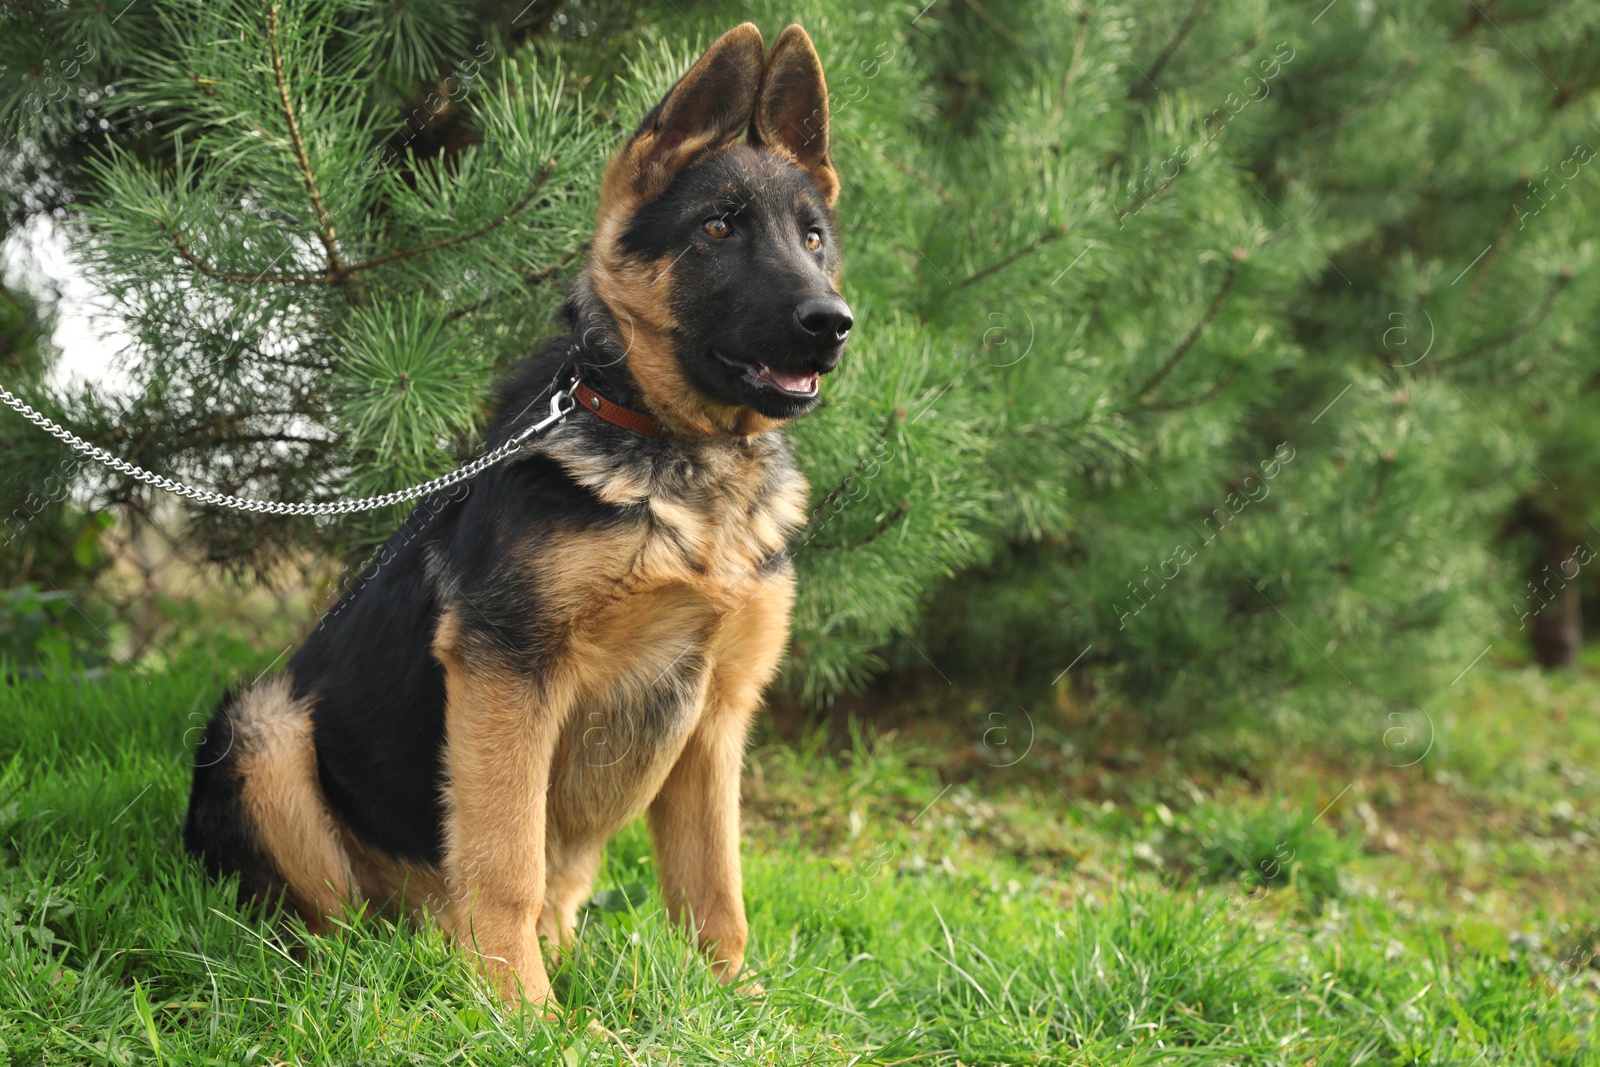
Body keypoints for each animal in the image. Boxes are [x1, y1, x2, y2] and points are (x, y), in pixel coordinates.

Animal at [181, 24, 851, 1011]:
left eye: (812, 239)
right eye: (718, 228)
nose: (831, 322)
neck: (683, 460)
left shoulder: (719, 713)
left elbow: (715, 889)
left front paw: (738, 1007)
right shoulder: (509, 671)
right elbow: (505, 862)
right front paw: (523, 1014)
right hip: (262, 727)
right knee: (341, 919)